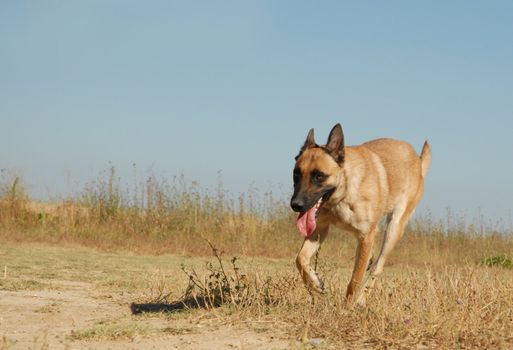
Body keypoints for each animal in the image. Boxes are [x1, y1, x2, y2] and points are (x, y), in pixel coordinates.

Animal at [290, 124, 430, 304]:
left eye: (319, 176)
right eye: (296, 174)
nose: (296, 205)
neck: (343, 192)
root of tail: (418, 160)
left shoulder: (366, 235)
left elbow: (355, 279)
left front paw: (347, 307)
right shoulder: (319, 229)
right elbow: (300, 259)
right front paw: (314, 284)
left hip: (393, 229)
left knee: (377, 267)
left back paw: (361, 300)